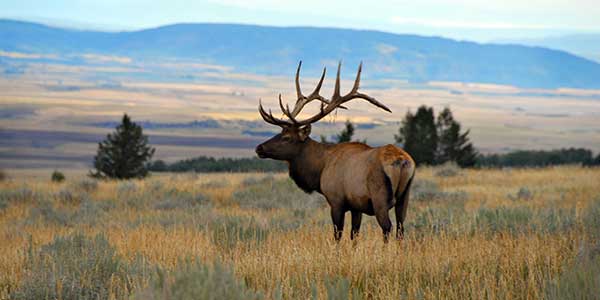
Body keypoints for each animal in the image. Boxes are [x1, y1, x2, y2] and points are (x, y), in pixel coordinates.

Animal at [255, 61, 414, 241]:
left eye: (287, 137)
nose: (259, 148)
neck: (320, 169)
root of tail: (402, 161)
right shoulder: (356, 205)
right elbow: (354, 234)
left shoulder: (336, 200)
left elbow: (338, 234)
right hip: (405, 198)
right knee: (401, 228)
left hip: (380, 198)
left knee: (387, 227)